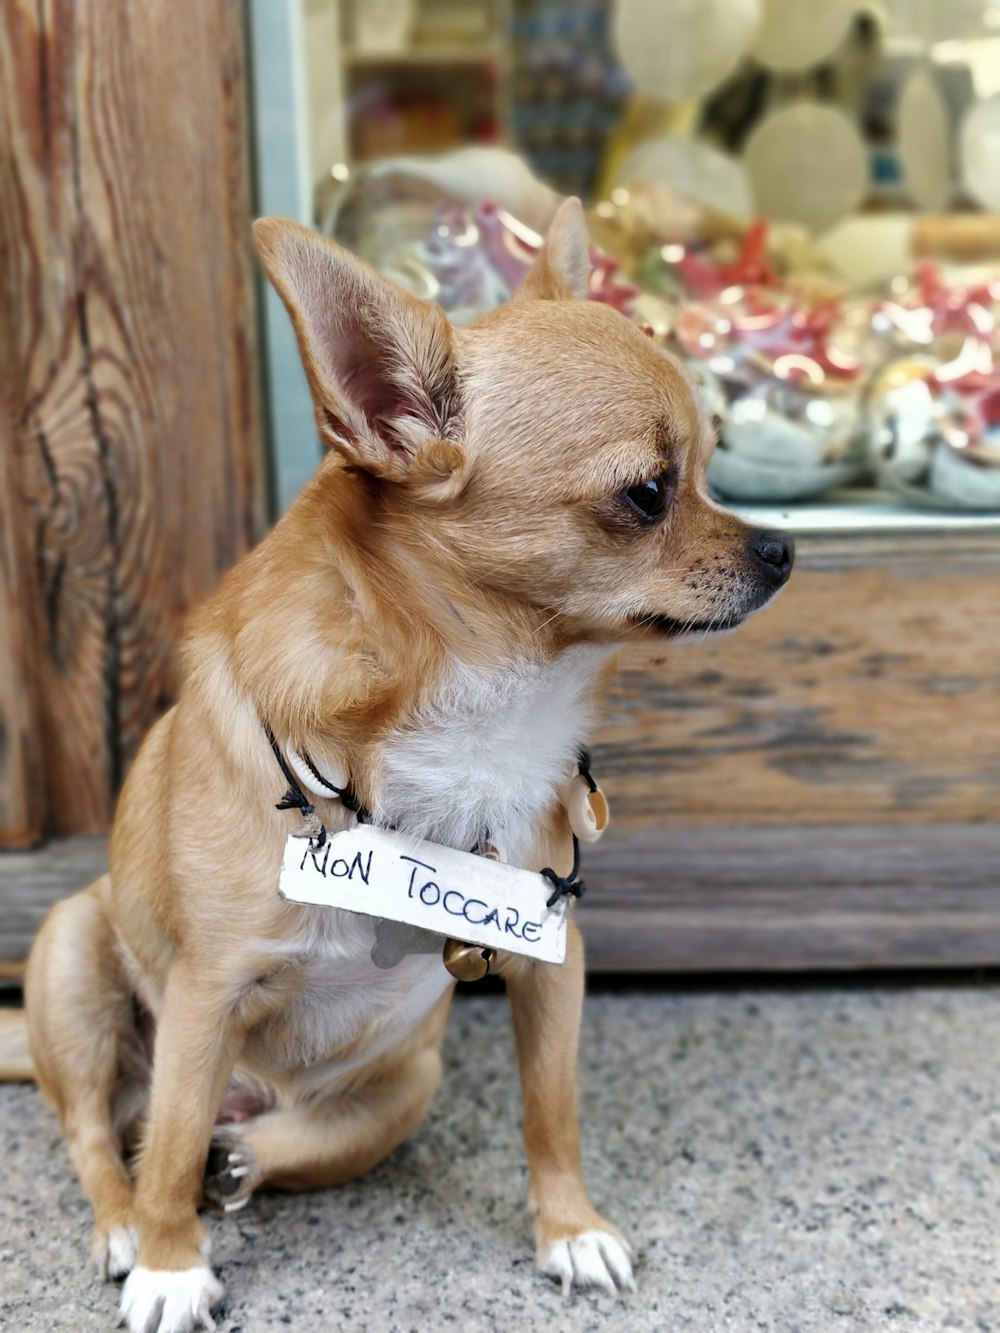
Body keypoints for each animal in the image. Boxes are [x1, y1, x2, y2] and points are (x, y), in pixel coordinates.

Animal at [23, 199, 794, 1333]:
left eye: (711, 467)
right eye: (650, 493)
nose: (784, 547)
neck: (483, 706)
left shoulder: (549, 963)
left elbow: (551, 1109)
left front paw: (570, 1228)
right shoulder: (205, 995)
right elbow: (164, 1146)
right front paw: (171, 1263)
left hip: (406, 1083)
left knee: (264, 1138)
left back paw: (244, 1152)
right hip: (78, 958)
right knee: (111, 1134)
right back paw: (132, 1227)